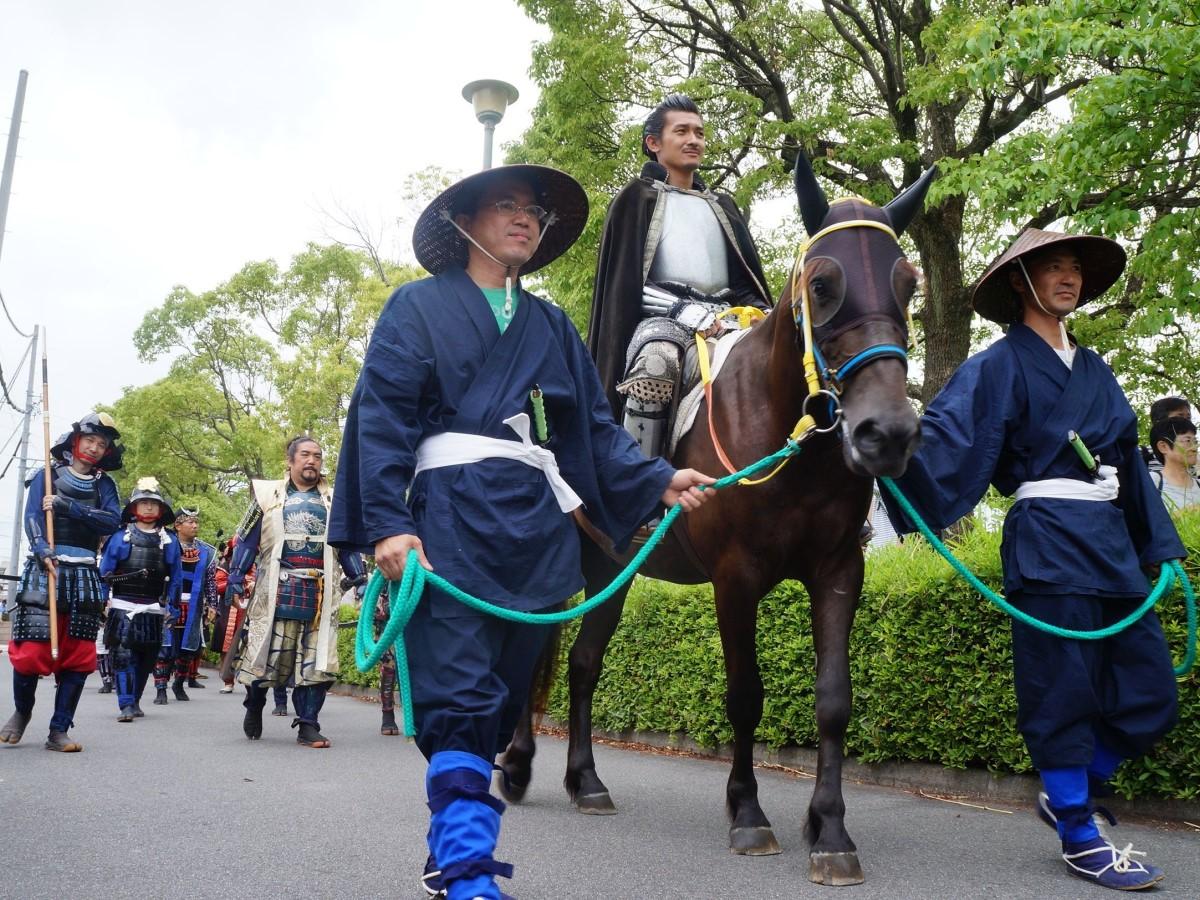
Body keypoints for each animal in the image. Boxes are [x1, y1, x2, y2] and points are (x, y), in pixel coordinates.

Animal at [496, 150, 936, 888]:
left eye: (908, 283)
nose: (888, 433)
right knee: (536, 651)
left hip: (611, 573)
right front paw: (749, 814)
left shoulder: (838, 570)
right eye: (823, 283)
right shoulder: (736, 578)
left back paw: (586, 782)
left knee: (583, 664)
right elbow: (745, 696)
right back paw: (516, 766)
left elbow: (834, 699)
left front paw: (830, 829)